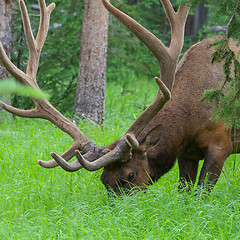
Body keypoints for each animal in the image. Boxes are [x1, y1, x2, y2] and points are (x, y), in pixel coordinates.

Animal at [0, 0, 240, 195]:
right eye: (103, 179)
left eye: (130, 175)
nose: (118, 213)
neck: (191, 119)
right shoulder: (187, 153)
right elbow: (184, 191)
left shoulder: (221, 144)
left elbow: (201, 193)